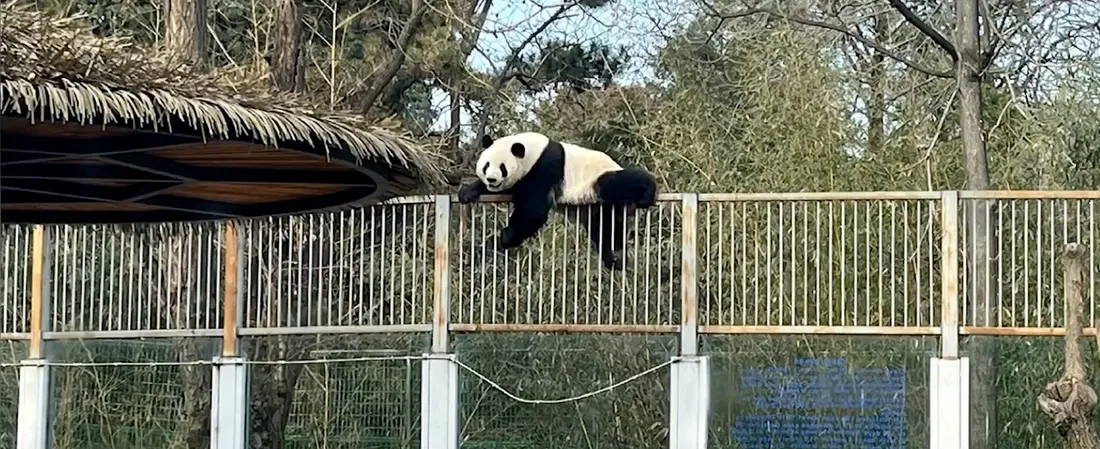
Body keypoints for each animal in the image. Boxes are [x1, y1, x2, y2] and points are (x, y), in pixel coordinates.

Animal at [457, 131, 658, 270]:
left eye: (502, 167)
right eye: (486, 165)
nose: (491, 179)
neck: (533, 150)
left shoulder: (544, 168)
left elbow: (534, 211)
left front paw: (507, 236)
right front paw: (468, 192)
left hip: (598, 178)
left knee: (615, 183)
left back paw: (648, 191)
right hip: (600, 206)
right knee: (605, 227)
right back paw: (615, 258)